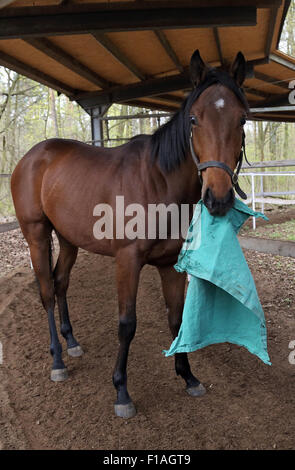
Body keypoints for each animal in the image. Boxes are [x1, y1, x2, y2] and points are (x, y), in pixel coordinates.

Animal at [10, 51, 249, 418]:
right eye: (194, 119)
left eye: (242, 120)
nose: (218, 198)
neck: (158, 182)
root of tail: (32, 157)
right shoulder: (127, 261)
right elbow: (127, 324)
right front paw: (121, 392)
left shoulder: (169, 265)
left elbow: (176, 318)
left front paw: (188, 376)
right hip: (36, 234)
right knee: (47, 291)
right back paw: (57, 361)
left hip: (68, 239)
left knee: (61, 282)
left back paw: (72, 343)